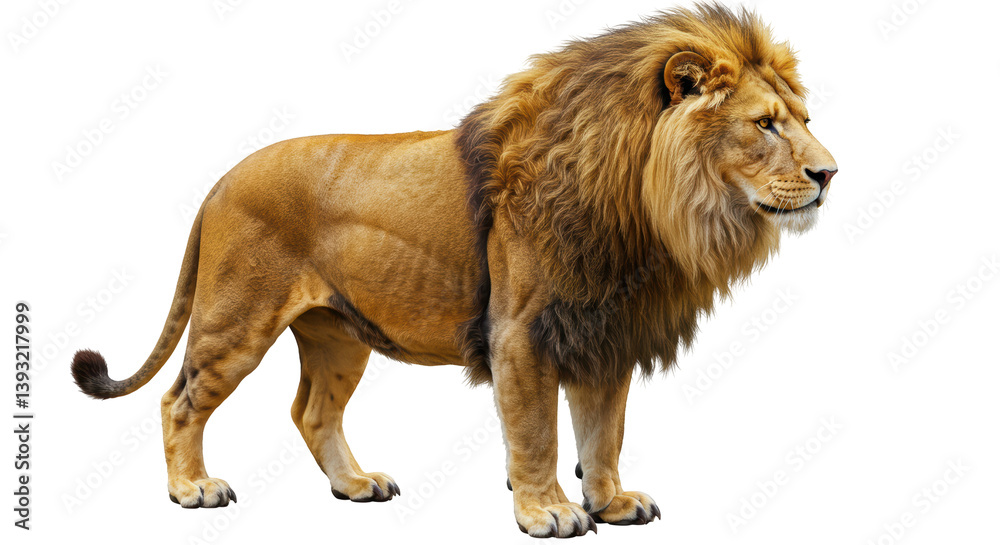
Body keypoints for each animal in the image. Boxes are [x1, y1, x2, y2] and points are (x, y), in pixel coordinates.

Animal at [71, 3, 836, 538]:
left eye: (802, 119)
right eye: (766, 124)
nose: (830, 173)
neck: (645, 209)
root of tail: (219, 182)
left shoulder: (602, 330)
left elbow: (603, 430)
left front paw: (611, 501)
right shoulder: (522, 334)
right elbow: (537, 432)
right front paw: (548, 511)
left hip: (337, 334)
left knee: (311, 411)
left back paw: (356, 485)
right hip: (237, 320)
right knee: (178, 400)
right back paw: (193, 489)